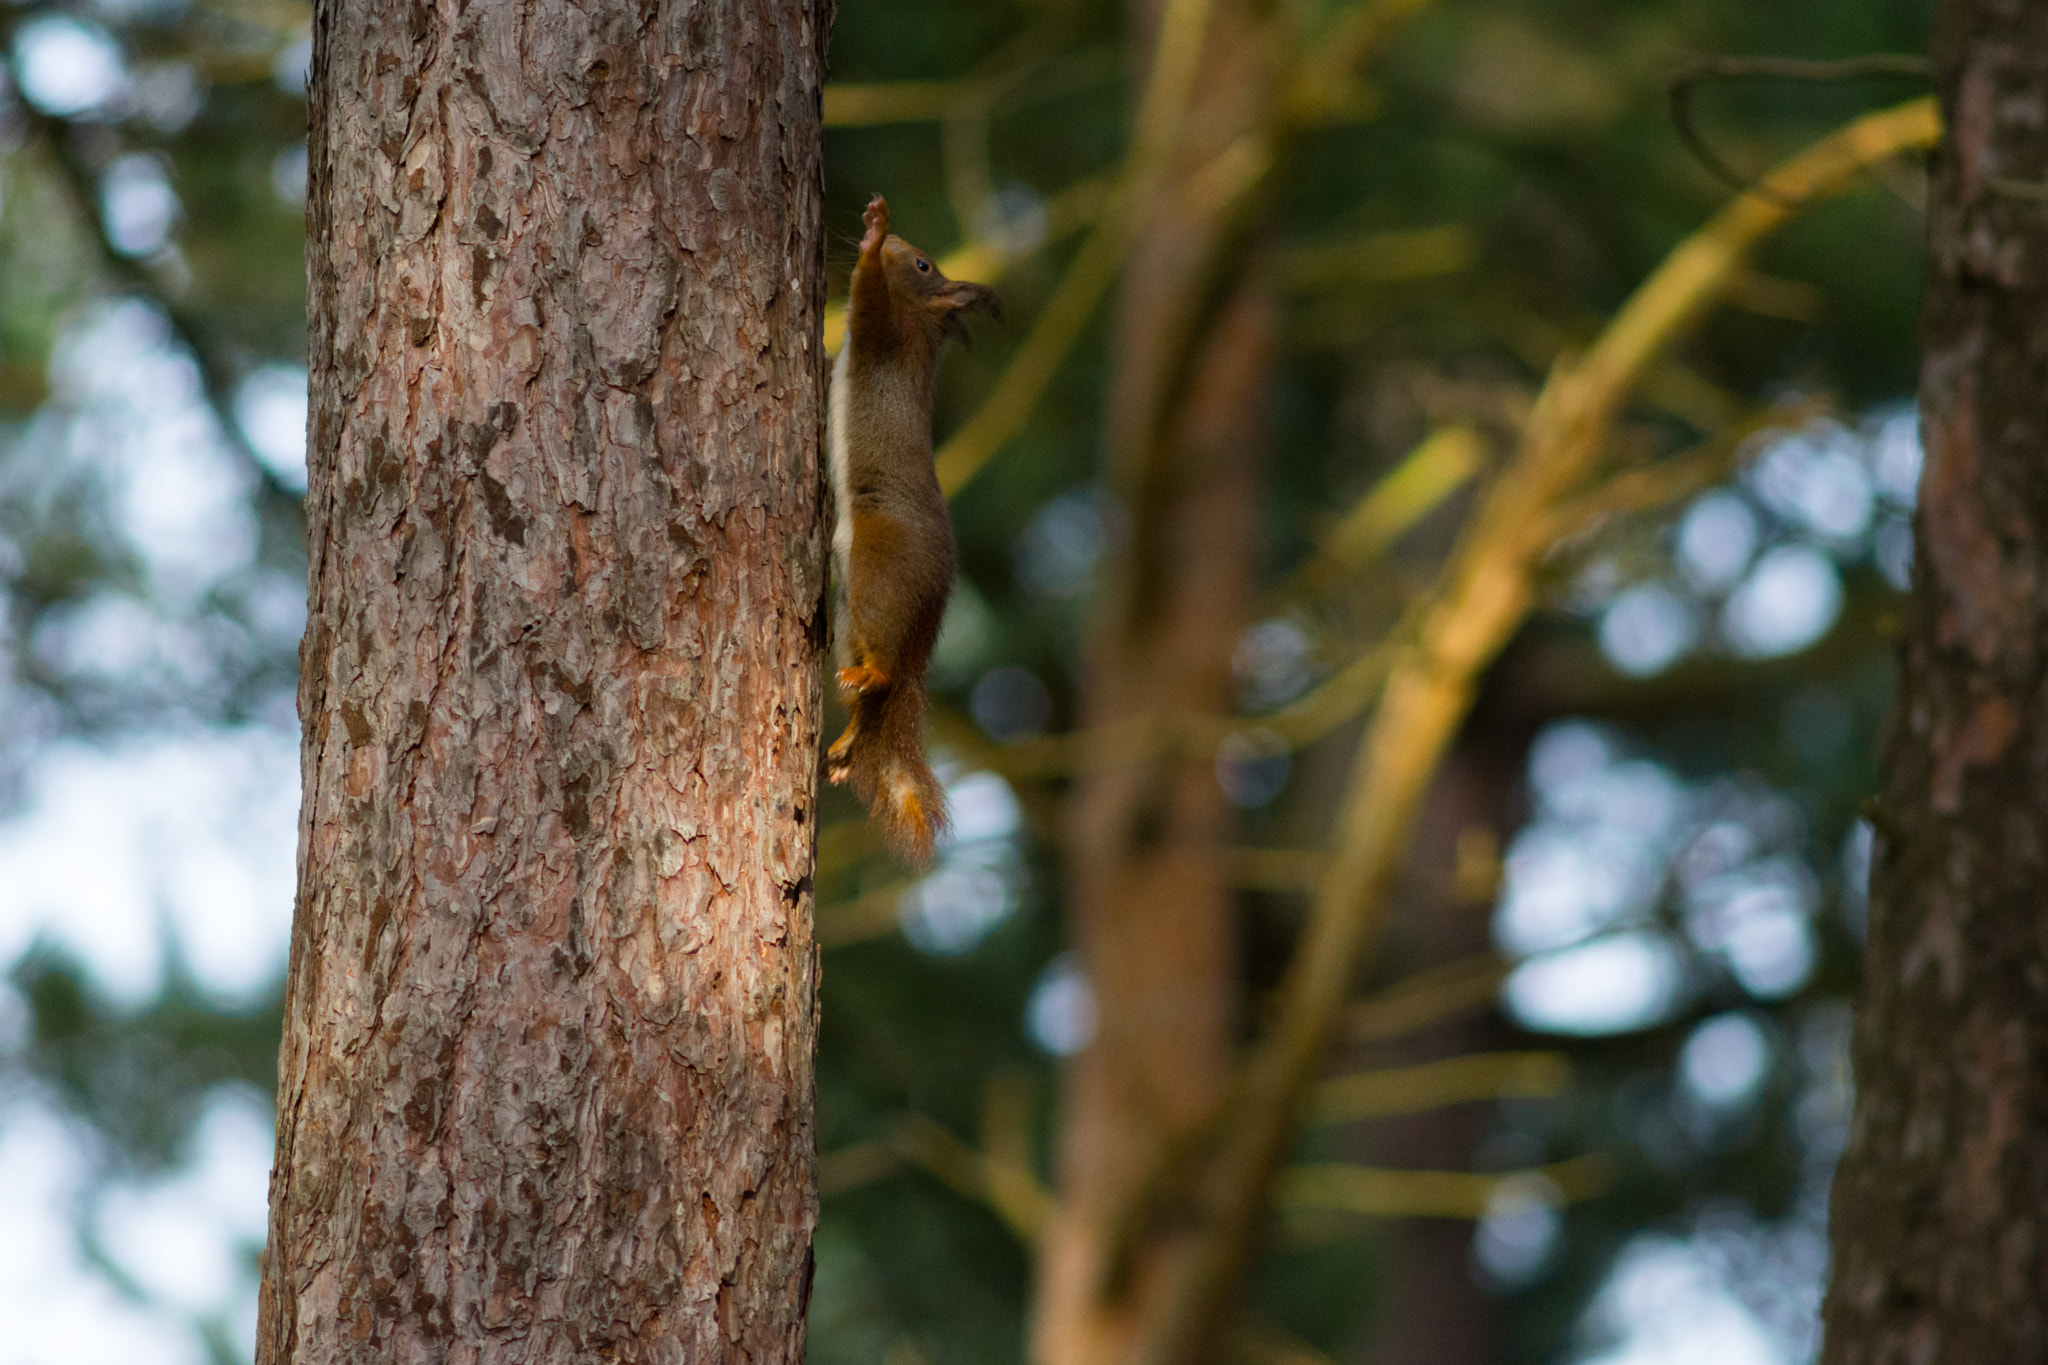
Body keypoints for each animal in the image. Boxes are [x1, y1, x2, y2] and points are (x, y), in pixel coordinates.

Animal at [823, 194, 999, 863]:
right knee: (872, 685)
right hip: (848, 613)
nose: (900, 243)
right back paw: (848, 741)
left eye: (923, 264)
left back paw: (873, 684)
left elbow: (866, 291)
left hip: (879, 568)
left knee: (885, 670)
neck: (921, 325)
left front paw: (873, 239)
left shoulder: (883, 333)